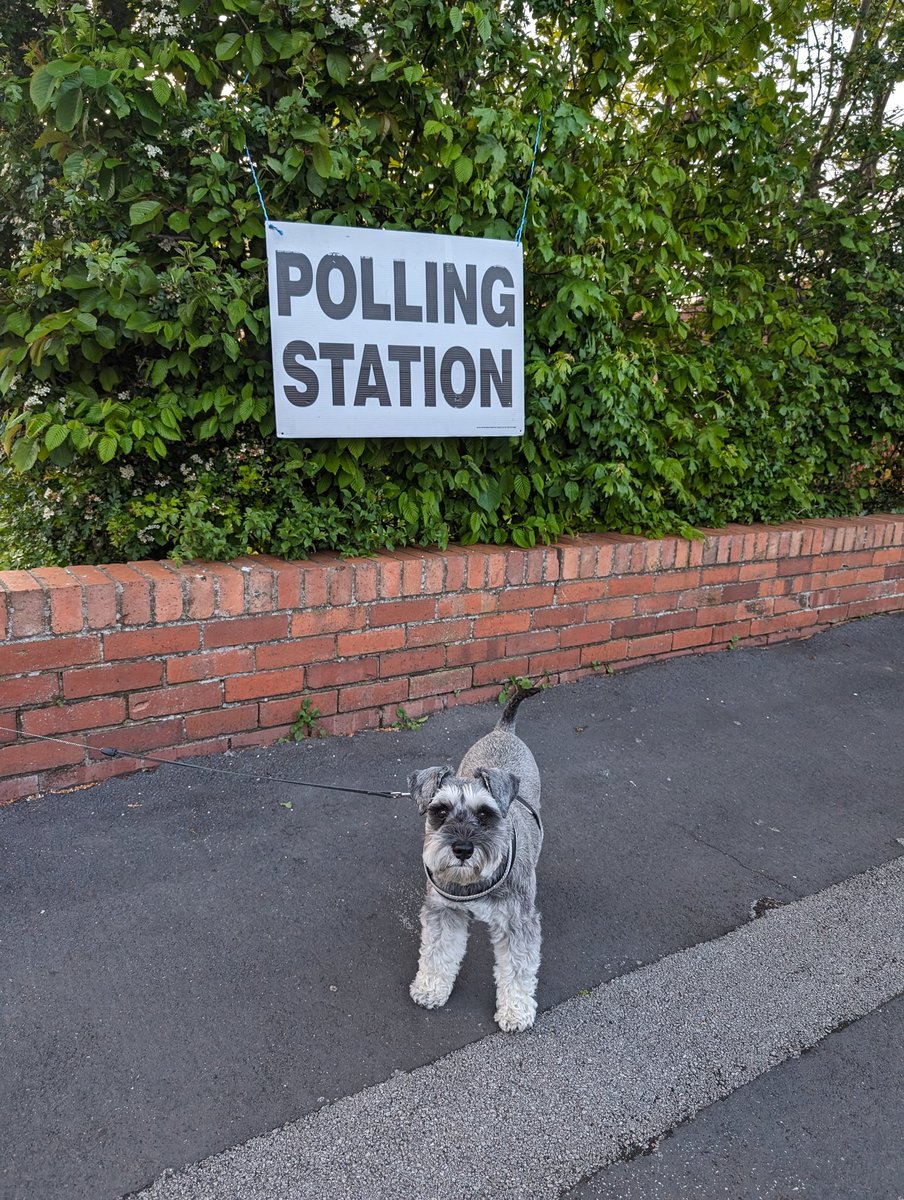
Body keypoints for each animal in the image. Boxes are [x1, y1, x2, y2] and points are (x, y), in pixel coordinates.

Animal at [408, 686, 542, 1032]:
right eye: (440, 811)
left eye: (485, 814)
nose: (463, 849)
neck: (472, 882)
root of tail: (503, 730)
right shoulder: (444, 912)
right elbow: (438, 951)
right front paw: (431, 988)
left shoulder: (518, 923)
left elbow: (518, 969)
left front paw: (516, 1011)